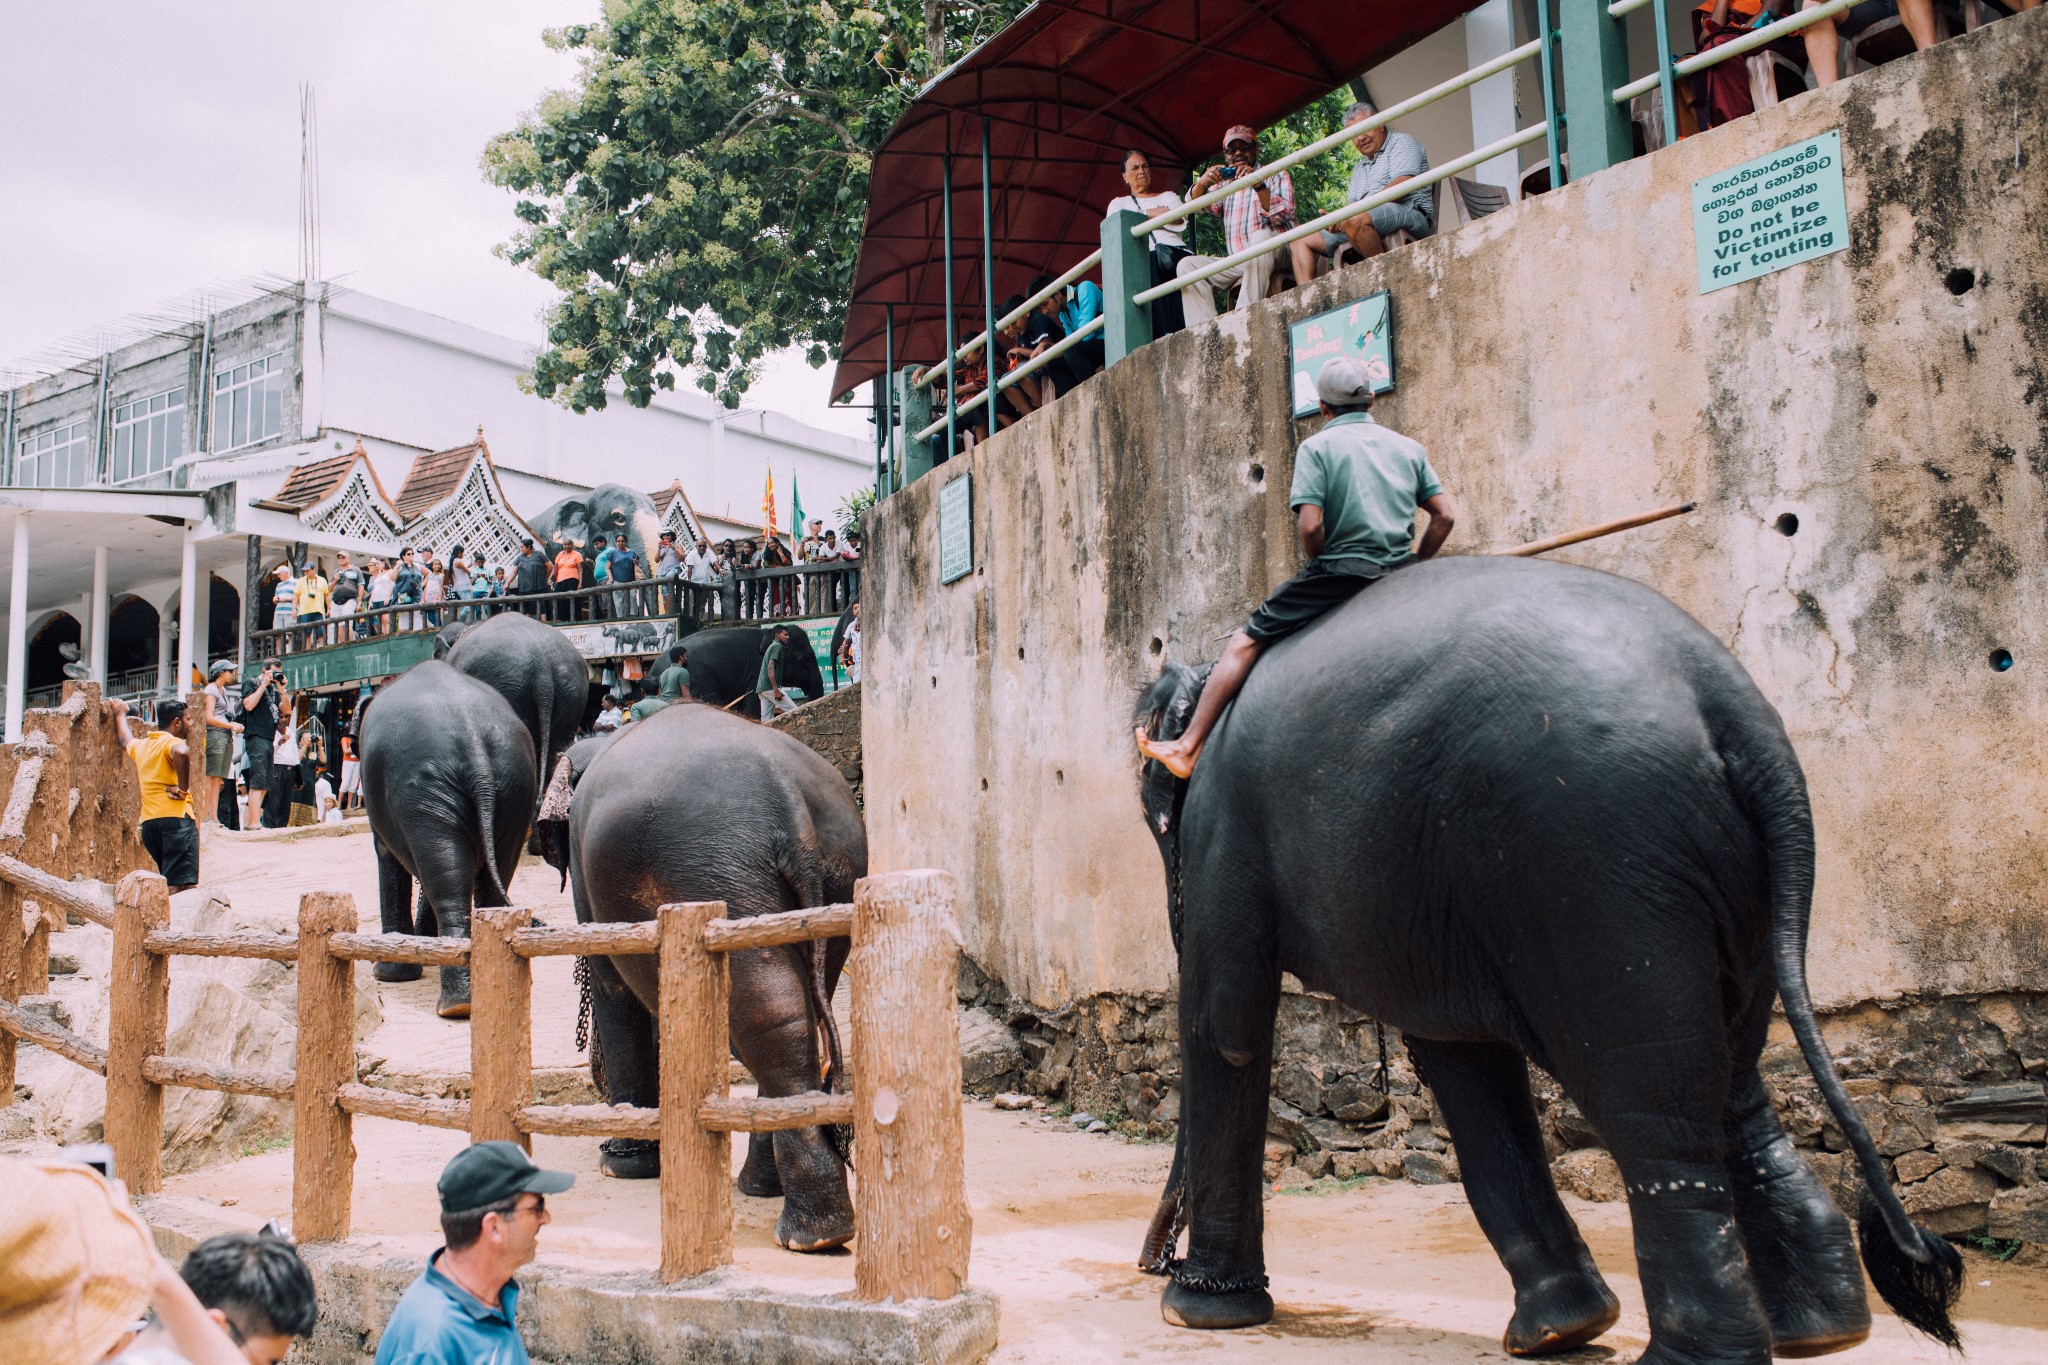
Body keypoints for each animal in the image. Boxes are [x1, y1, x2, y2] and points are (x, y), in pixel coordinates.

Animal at [360, 654, 540, 1019]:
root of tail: (474, 747)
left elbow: (387, 857)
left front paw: (389, 973)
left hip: (425, 789)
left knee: (445, 881)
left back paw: (455, 1007)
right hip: (514, 785)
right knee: (482, 879)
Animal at [557, 703, 860, 1252]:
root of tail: (790, 807)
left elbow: (616, 987)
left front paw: (621, 1166)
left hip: (715, 876)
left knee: (763, 1014)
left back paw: (808, 1234)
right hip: (830, 880)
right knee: (789, 1016)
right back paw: (785, 1207)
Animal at [1130, 556, 1957, 1365]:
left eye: (1155, 811)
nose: (1153, 1261)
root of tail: (1736, 711)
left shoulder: (1226, 828)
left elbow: (1228, 1023)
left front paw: (1199, 1313)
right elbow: (1459, 1053)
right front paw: (1564, 1329)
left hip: (1599, 871)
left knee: (1652, 1101)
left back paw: (1695, 1356)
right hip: (1724, 889)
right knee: (1730, 1084)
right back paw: (1822, 1332)